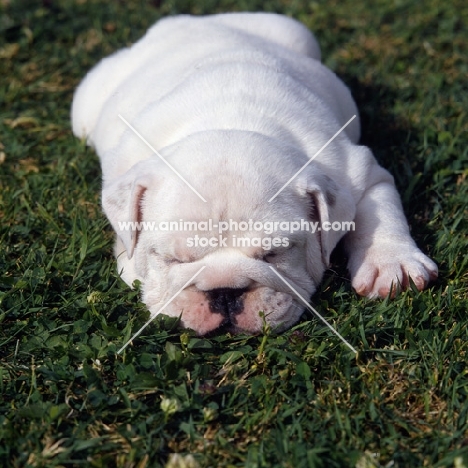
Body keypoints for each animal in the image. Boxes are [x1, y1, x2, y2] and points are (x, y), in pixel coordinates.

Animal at [70, 13, 438, 336]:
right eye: (172, 260)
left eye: (274, 255)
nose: (224, 292)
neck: (231, 121)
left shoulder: (359, 172)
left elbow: (380, 214)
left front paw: (392, 264)